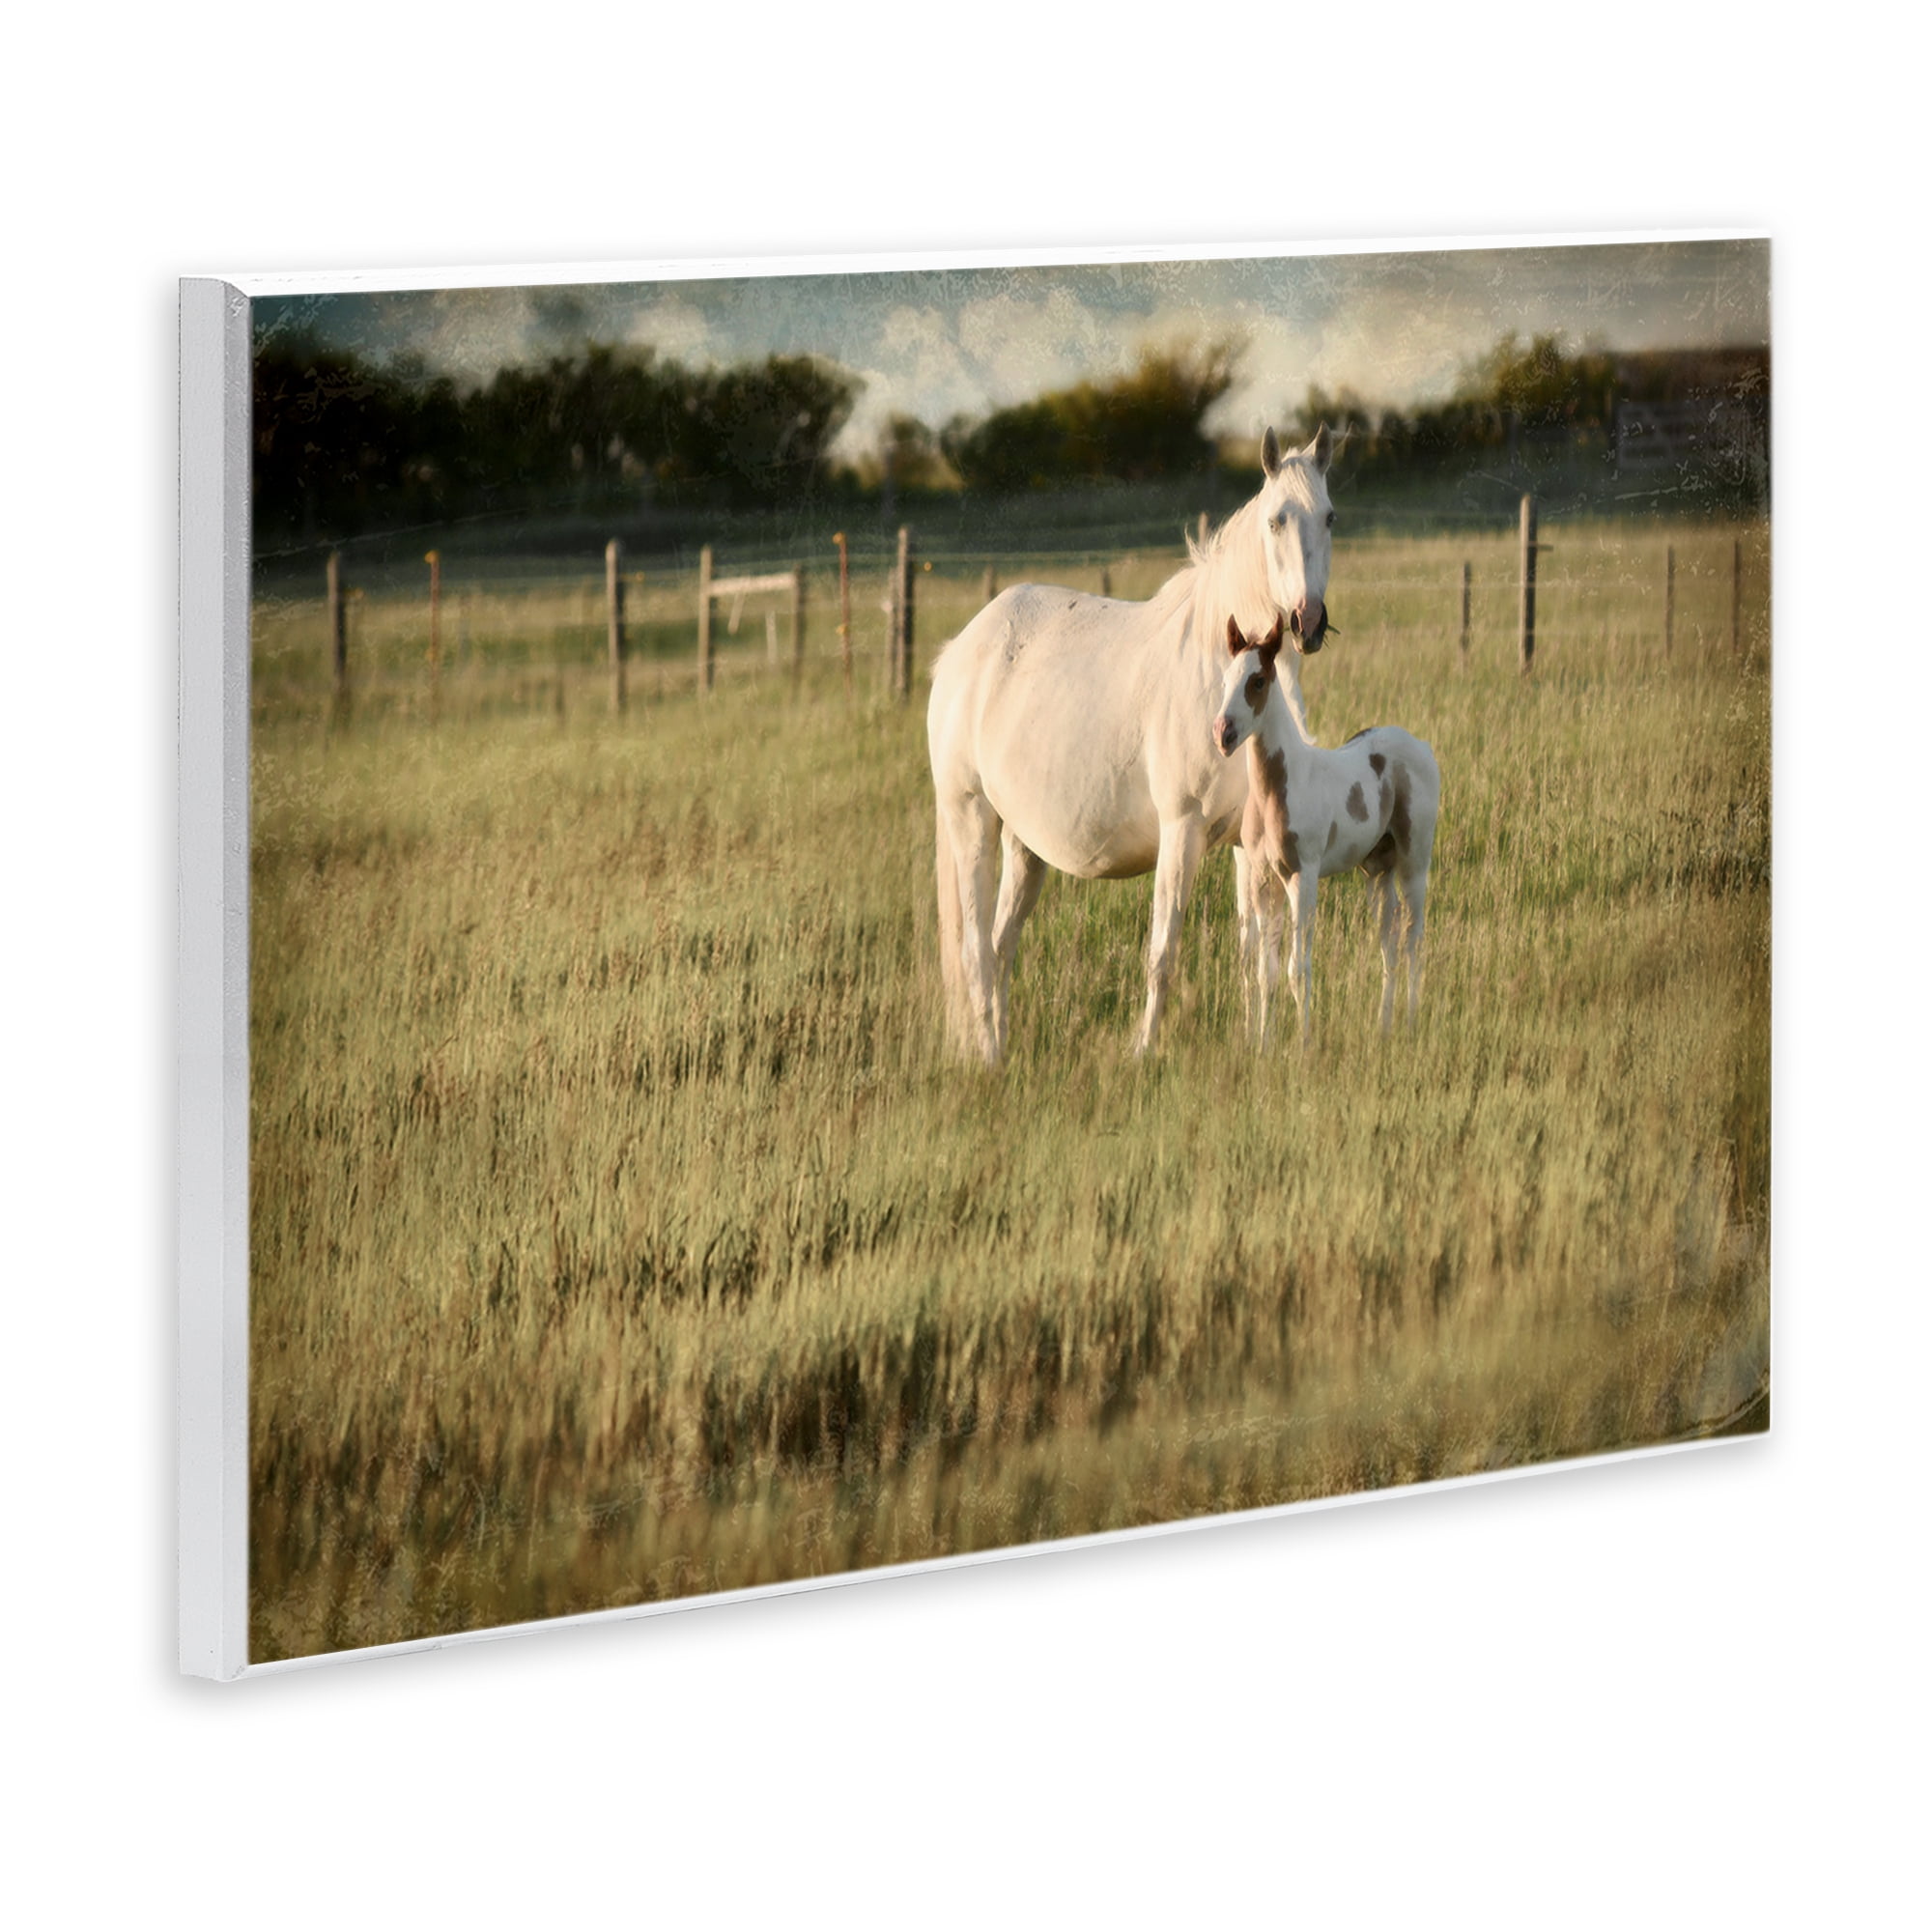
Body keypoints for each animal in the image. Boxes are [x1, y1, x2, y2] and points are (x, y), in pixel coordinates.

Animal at [927, 426, 1339, 1066]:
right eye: (1275, 520)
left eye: (1329, 517)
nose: (1308, 621)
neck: (1213, 670)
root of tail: (959, 653)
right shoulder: (1182, 830)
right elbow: (1163, 953)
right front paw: (1144, 1050)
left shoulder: (1246, 842)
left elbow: (1256, 954)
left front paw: (1257, 1043)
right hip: (971, 822)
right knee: (976, 953)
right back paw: (992, 1059)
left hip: (1023, 847)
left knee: (999, 947)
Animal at [1212, 612, 1440, 1047]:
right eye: (1225, 677)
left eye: (1258, 681)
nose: (1222, 733)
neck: (1277, 790)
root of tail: (1422, 745)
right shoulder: (1264, 881)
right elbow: (1266, 973)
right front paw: (1263, 1044)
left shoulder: (1303, 877)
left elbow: (1297, 969)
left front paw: (1303, 1044)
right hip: (1377, 871)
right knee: (1388, 940)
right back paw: (1384, 1026)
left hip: (1414, 863)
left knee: (1413, 938)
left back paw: (1411, 1022)